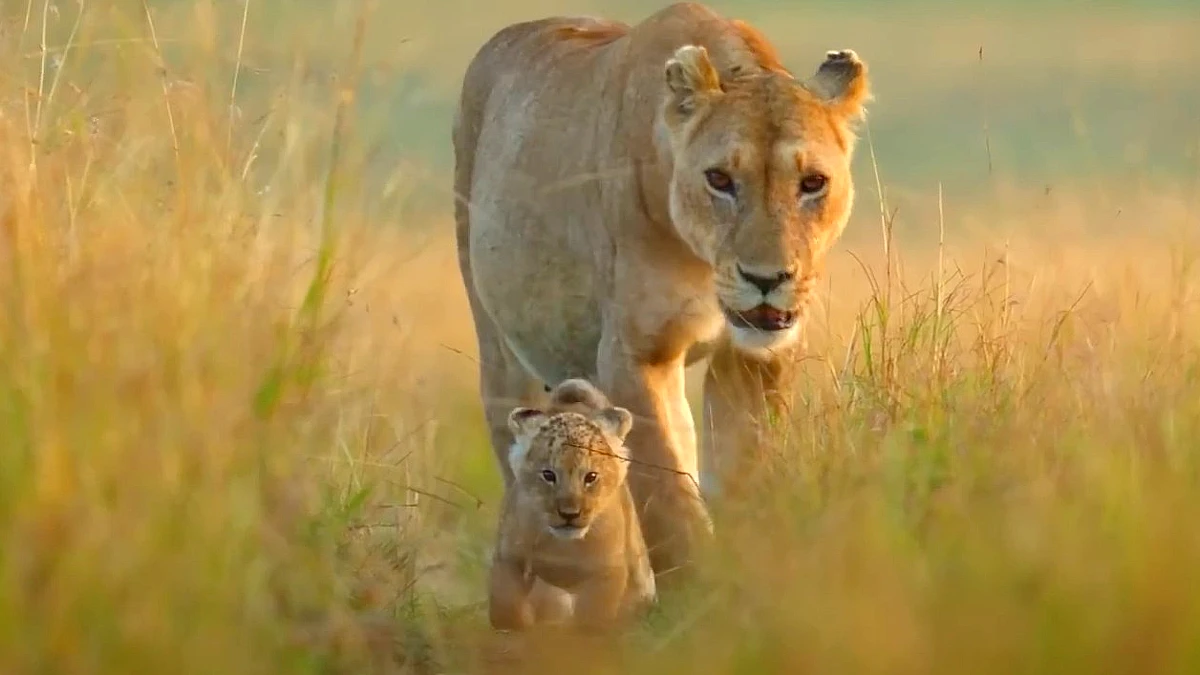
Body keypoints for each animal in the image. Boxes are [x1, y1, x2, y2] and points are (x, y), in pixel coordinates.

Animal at [453, 2, 871, 582]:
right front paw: (698, 588)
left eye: (812, 183)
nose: (766, 279)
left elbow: (740, 477)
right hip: (501, 349)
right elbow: (670, 501)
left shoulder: (755, 361)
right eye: (719, 179)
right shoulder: (636, 356)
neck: (702, 263)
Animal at [488, 378, 656, 631]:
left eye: (591, 477)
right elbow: (506, 607)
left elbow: (593, 619)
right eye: (548, 475)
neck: (564, 546)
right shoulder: (509, 559)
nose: (569, 514)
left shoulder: (607, 572)